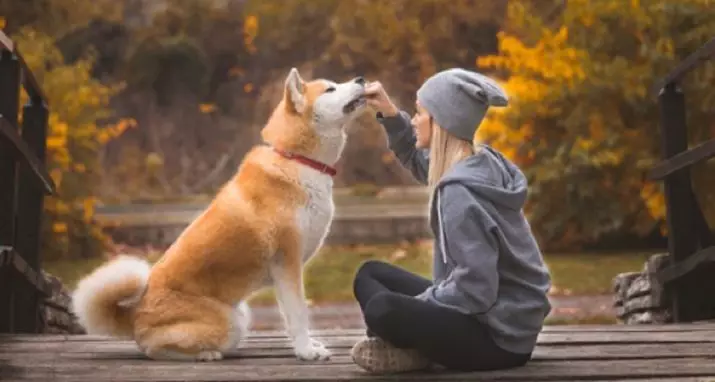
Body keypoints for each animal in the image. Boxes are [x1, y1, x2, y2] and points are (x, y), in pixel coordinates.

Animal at [71, 67, 370, 362]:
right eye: (330, 88)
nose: (361, 79)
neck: (295, 159)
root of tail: (134, 315)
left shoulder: (285, 271)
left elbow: (289, 316)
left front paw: (305, 347)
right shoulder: (287, 262)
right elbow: (298, 315)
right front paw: (307, 352)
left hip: (241, 314)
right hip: (229, 323)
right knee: (154, 349)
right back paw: (205, 354)